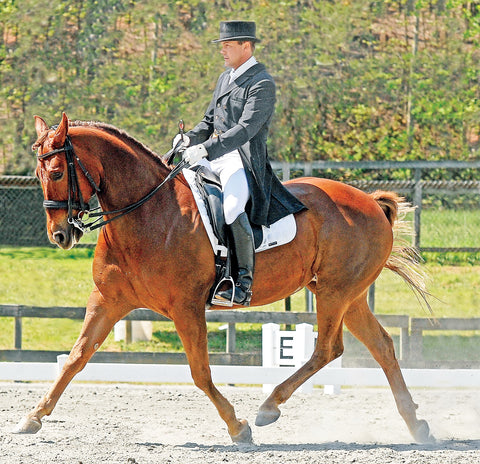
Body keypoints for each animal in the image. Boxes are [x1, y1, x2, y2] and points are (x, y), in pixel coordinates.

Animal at [15, 112, 432, 442]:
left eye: (56, 172)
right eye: (38, 174)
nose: (60, 235)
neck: (148, 213)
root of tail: (370, 202)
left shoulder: (185, 307)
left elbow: (200, 372)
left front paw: (238, 427)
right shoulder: (107, 300)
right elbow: (75, 358)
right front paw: (32, 418)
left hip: (334, 292)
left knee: (328, 348)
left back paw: (268, 407)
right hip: (350, 294)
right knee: (381, 346)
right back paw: (416, 425)